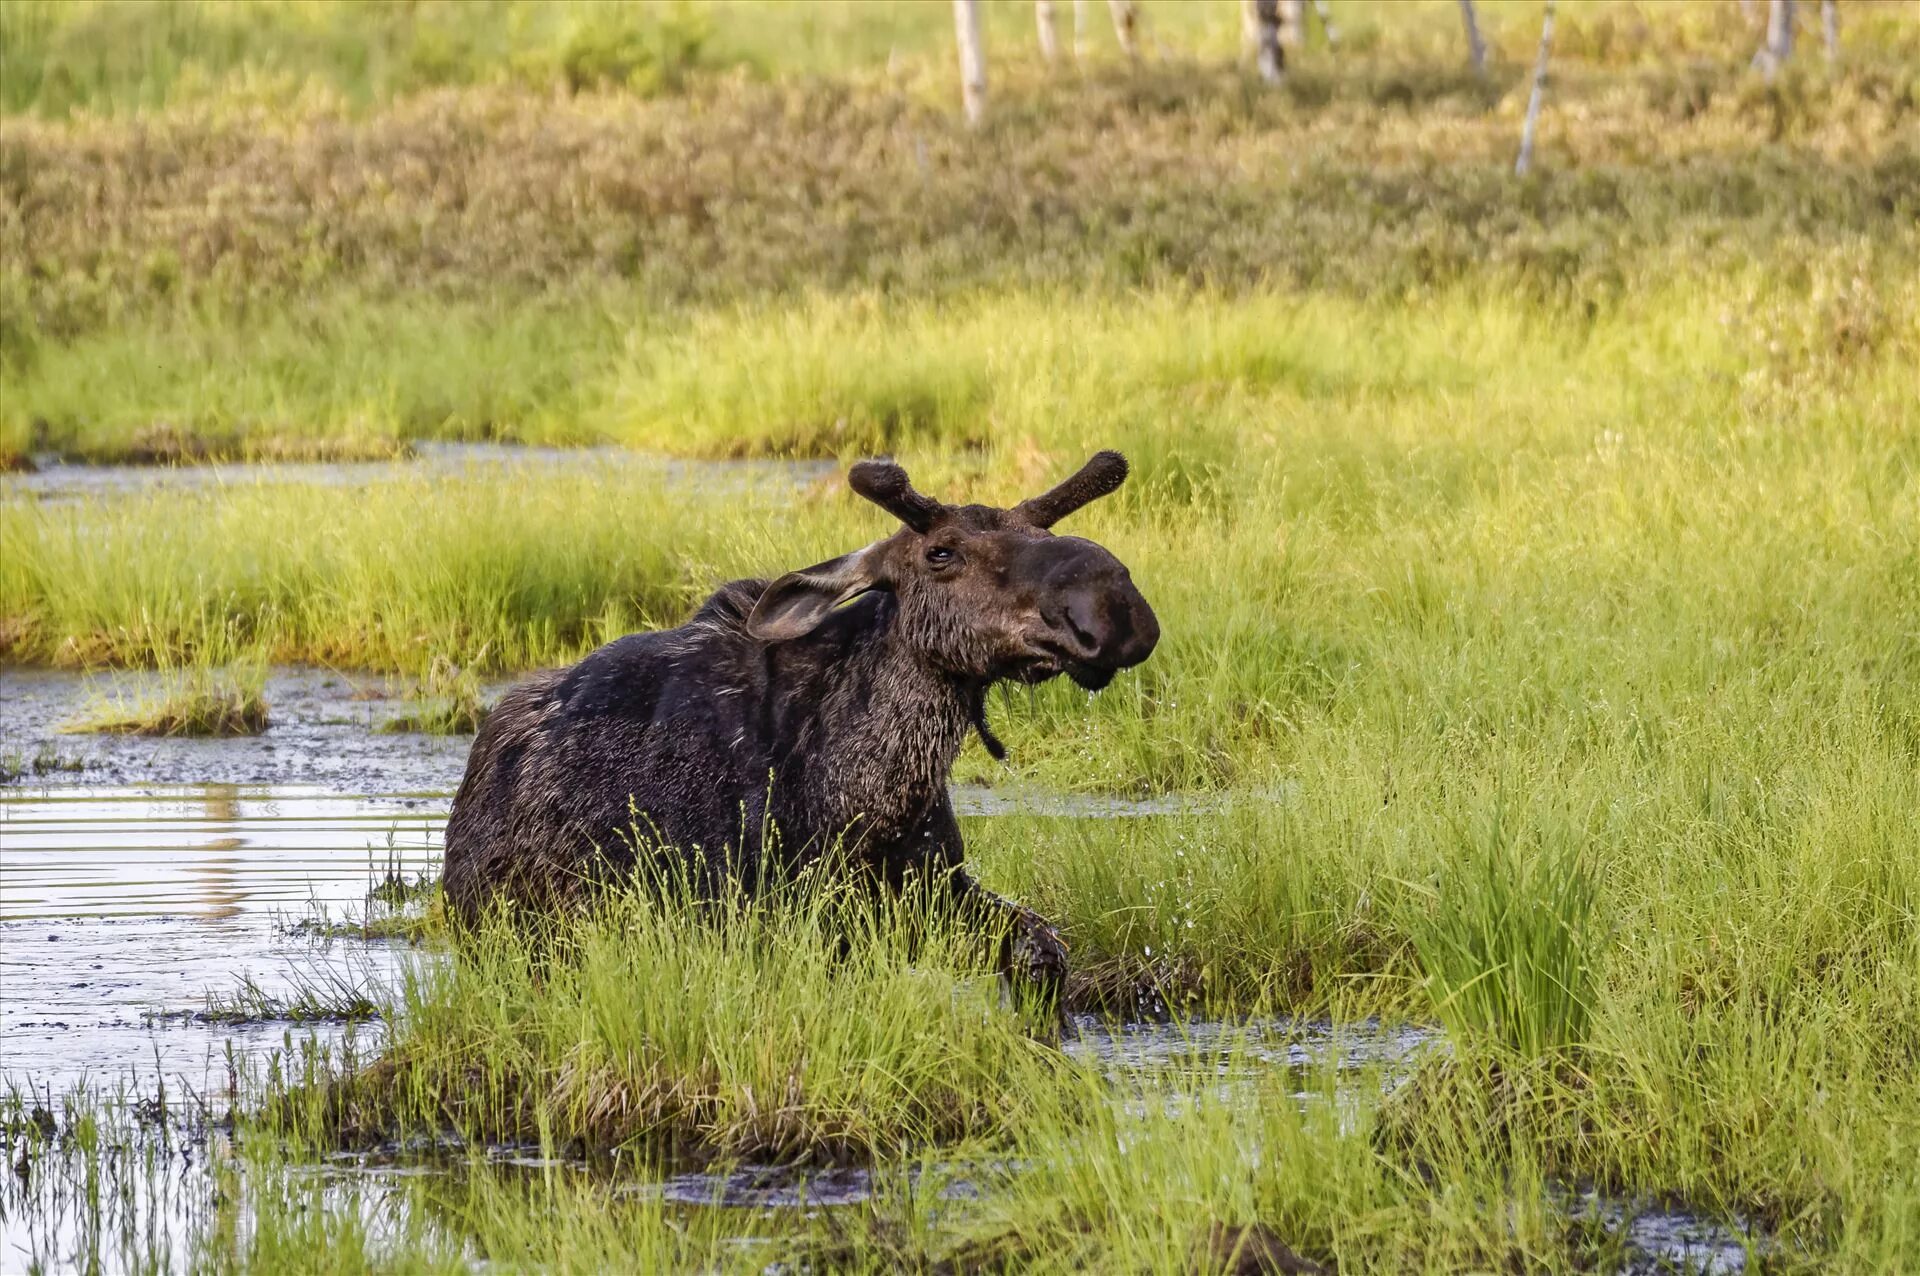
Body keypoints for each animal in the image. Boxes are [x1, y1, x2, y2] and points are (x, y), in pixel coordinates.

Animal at [439, 452, 1152, 997]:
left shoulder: (934, 885)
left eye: (1043, 535)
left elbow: (1043, 952)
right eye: (940, 552)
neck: (866, 795)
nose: (1112, 605)